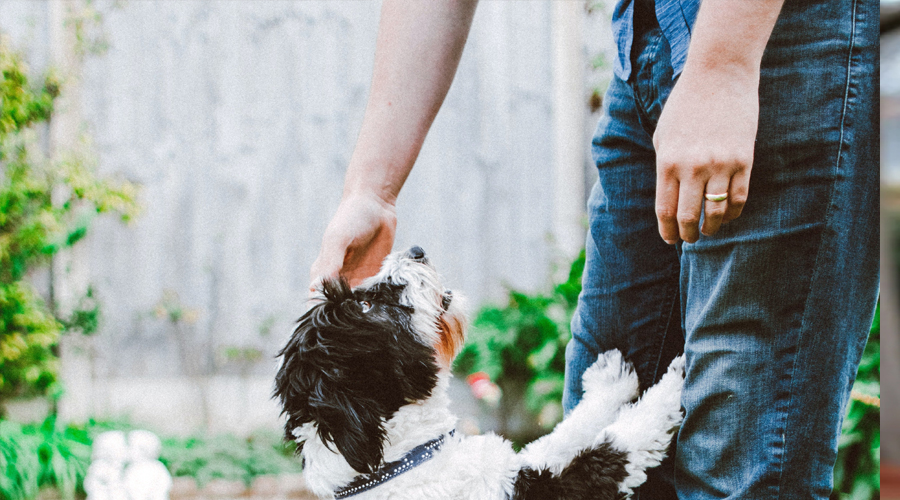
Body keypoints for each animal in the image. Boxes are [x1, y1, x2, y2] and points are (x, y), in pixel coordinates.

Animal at [272, 247, 684, 500]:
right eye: (366, 305)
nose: (416, 250)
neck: (403, 461)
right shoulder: (549, 489)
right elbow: (617, 448)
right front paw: (676, 378)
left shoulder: (514, 467)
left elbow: (564, 434)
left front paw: (609, 383)